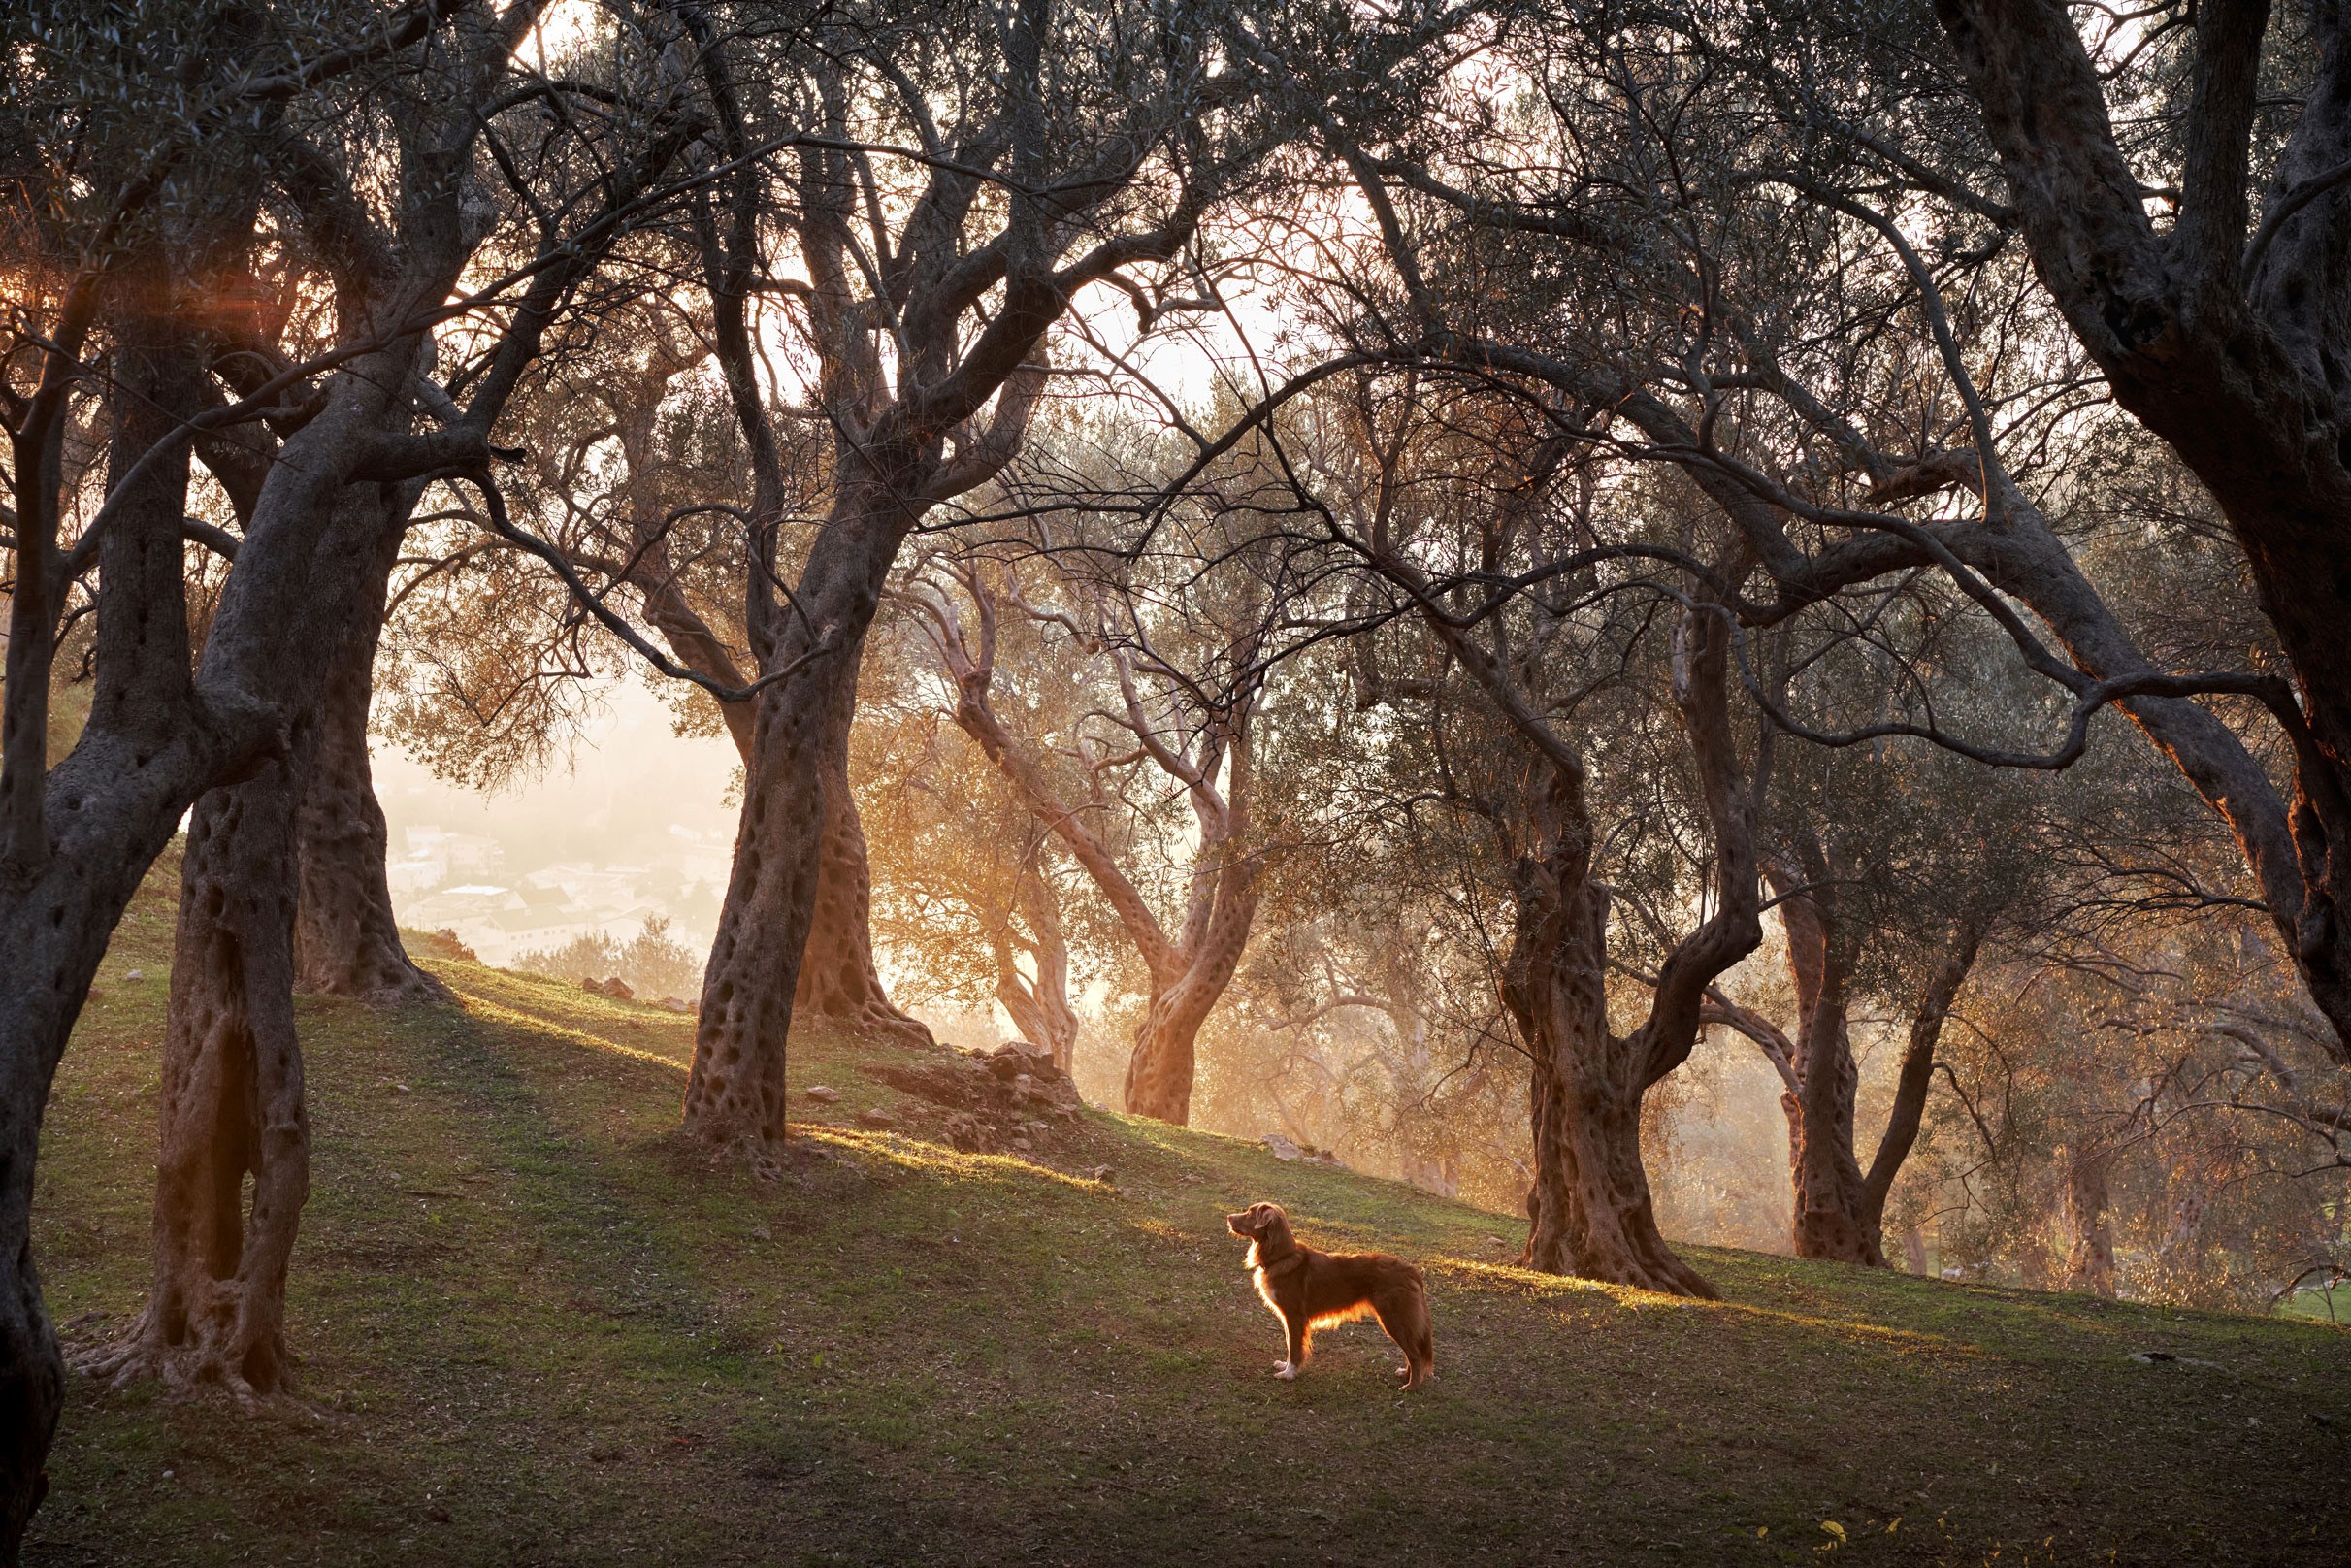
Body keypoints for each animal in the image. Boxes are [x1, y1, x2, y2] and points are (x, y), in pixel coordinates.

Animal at [1231, 1213, 1429, 1391]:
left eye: (1250, 1214)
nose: (1228, 1217)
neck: (1282, 1257)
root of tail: (1410, 1270)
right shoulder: (1289, 1319)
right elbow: (1289, 1344)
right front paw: (1285, 1366)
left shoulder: (1294, 1317)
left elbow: (1294, 1347)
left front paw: (1289, 1373)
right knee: (1412, 1353)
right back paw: (1406, 1375)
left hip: (1394, 1320)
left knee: (1415, 1355)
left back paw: (1411, 1386)